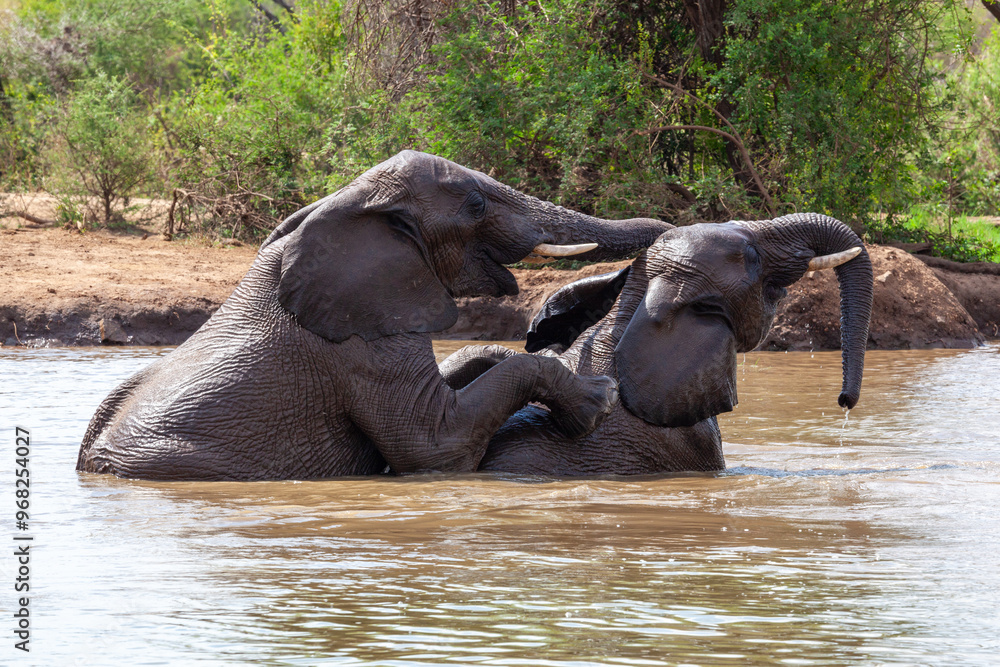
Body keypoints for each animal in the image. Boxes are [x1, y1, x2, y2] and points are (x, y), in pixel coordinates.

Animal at [77, 151, 673, 480]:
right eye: (476, 205)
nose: (667, 229)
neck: (350, 201)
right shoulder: (356, 337)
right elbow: (435, 446)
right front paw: (596, 401)